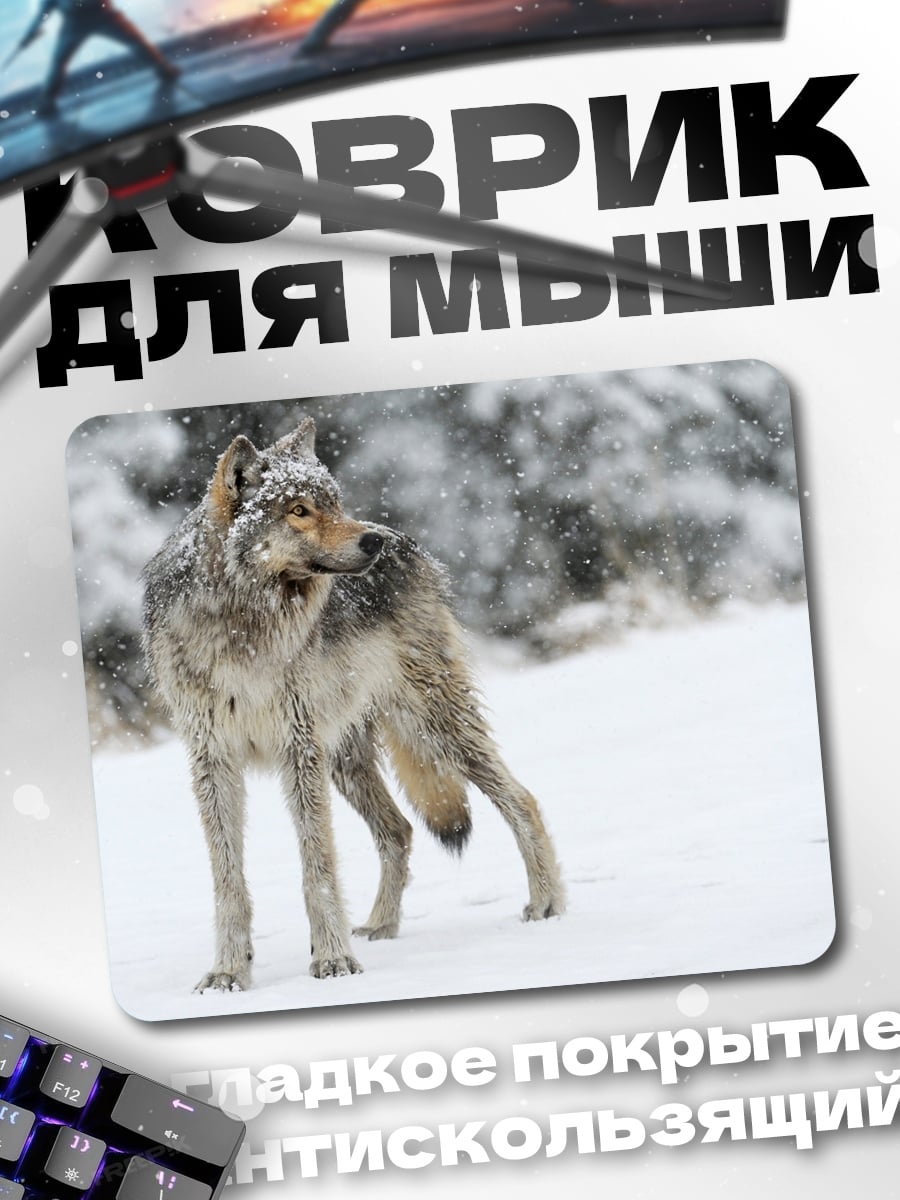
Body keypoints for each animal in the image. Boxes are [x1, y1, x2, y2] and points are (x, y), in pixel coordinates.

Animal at [142, 417, 564, 991]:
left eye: (335, 503)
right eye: (298, 510)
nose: (372, 542)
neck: (243, 627)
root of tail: (411, 545)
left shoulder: (298, 751)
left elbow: (317, 867)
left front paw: (332, 960)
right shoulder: (213, 760)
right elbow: (228, 879)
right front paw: (229, 972)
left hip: (432, 726)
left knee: (521, 799)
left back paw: (546, 903)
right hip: (345, 758)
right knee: (400, 830)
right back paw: (382, 925)